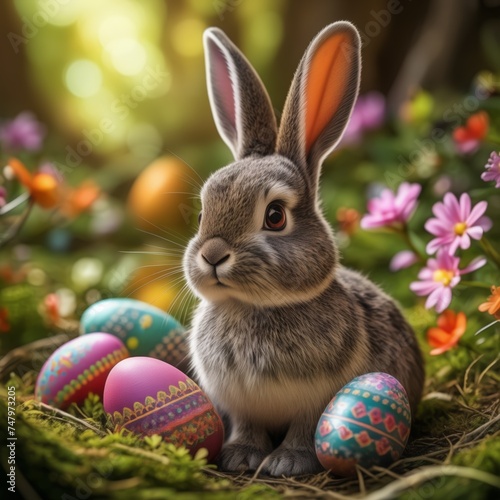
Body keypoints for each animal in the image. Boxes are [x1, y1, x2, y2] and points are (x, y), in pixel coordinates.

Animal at [182, 20, 424, 476]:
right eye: (203, 213)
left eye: (275, 216)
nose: (212, 255)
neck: (253, 307)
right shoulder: (241, 404)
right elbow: (248, 425)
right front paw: (240, 455)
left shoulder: (317, 401)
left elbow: (305, 428)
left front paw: (287, 462)